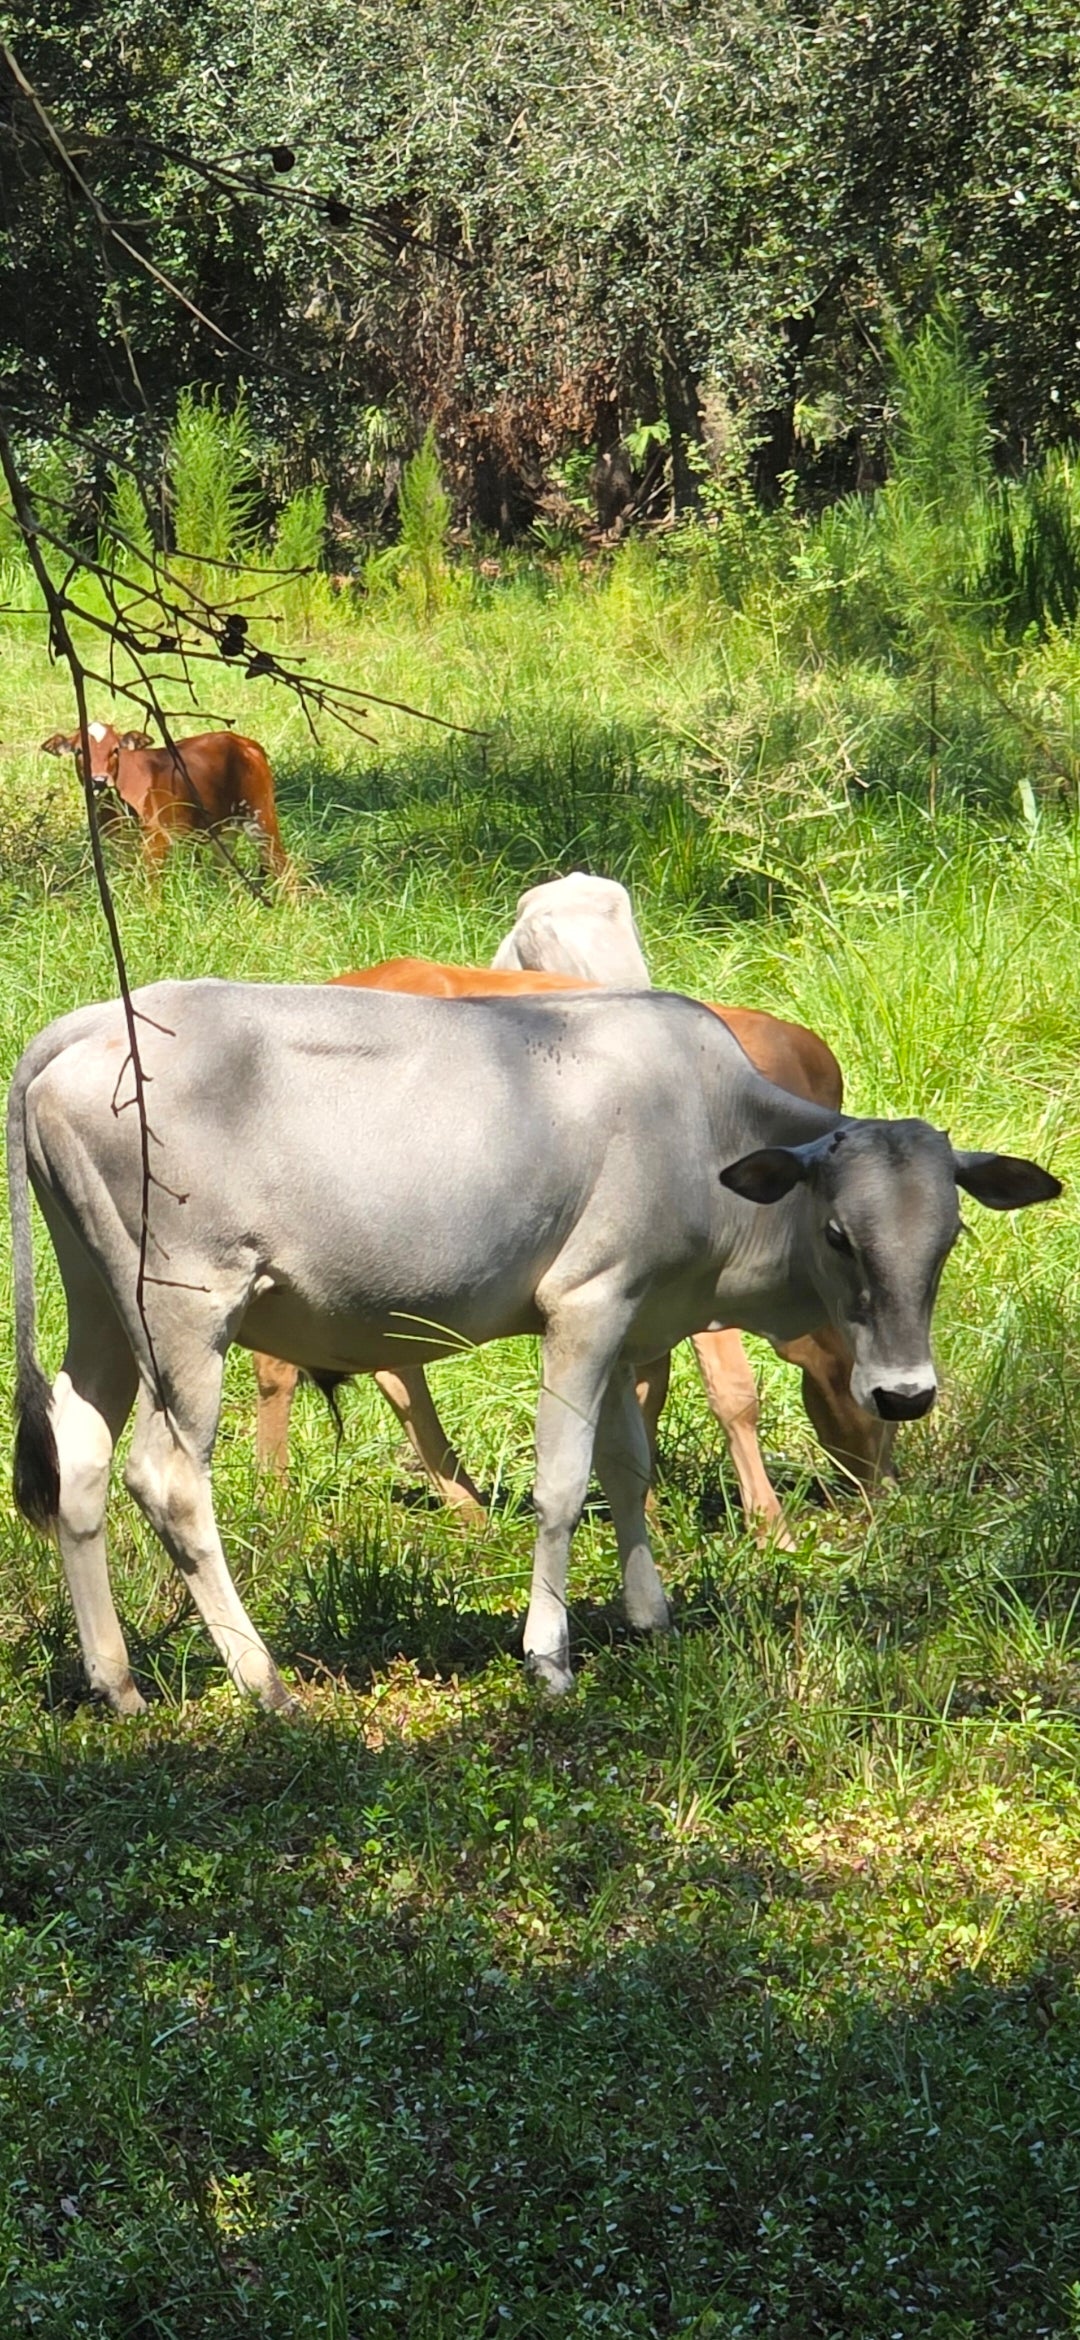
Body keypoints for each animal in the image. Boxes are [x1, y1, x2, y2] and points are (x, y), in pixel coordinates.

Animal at [40, 721, 292, 881]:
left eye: (115, 750)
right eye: (79, 751)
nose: (99, 781)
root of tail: (247, 744)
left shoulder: (157, 838)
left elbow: (150, 886)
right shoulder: (118, 843)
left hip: (261, 815)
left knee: (284, 867)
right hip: (224, 830)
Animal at [250, 955, 867, 1540]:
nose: (880, 1490)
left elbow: (648, 1384)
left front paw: (642, 1508)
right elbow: (733, 1393)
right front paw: (771, 1529)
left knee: (395, 1370)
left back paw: (466, 1505)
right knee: (280, 1362)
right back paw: (274, 1493)